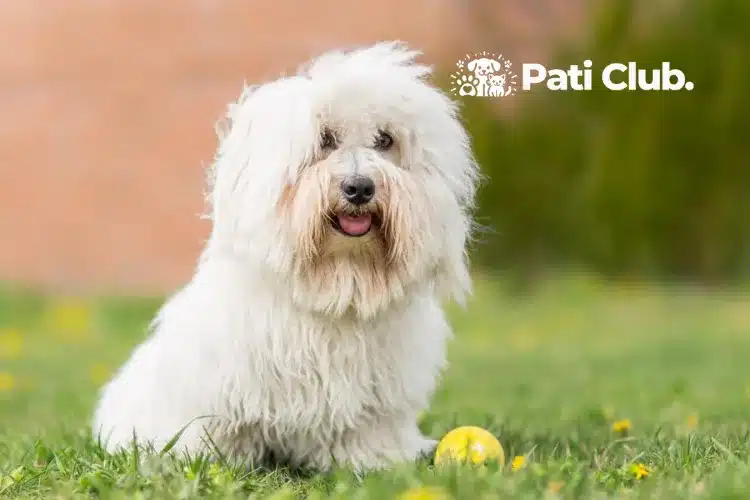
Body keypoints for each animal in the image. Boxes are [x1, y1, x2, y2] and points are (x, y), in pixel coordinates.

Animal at [92, 42, 482, 472]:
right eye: (325, 140)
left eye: (384, 140)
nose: (359, 187)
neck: (338, 281)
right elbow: (217, 428)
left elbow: (363, 432)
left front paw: (372, 461)